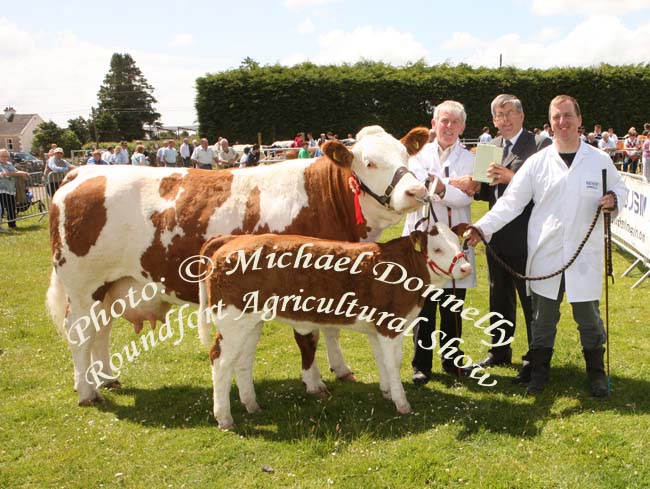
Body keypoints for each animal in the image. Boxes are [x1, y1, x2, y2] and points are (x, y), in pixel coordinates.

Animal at [46, 125, 430, 404]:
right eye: (370, 163)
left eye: (406, 155)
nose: (417, 192)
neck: (324, 198)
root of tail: (81, 172)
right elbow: (308, 337)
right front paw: (314, 382)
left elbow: (331, 330)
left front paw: (341, 369)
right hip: (82, 286)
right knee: (80, 334)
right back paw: (87, 392)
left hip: (111, 286)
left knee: (101, 330)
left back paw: (106, 378)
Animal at [197, 225, 470, 428]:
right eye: (437, 249)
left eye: (459, 243)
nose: (466, 267)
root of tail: (232, 240)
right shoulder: (390, 325)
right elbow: (394, 363)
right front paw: (402, 403)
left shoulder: (377, 329)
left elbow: (382, 361)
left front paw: (387, 392)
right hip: (233, 320)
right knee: (220, 361)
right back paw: (224, 417)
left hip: (251, 322)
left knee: (243, 361)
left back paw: (252, 405)